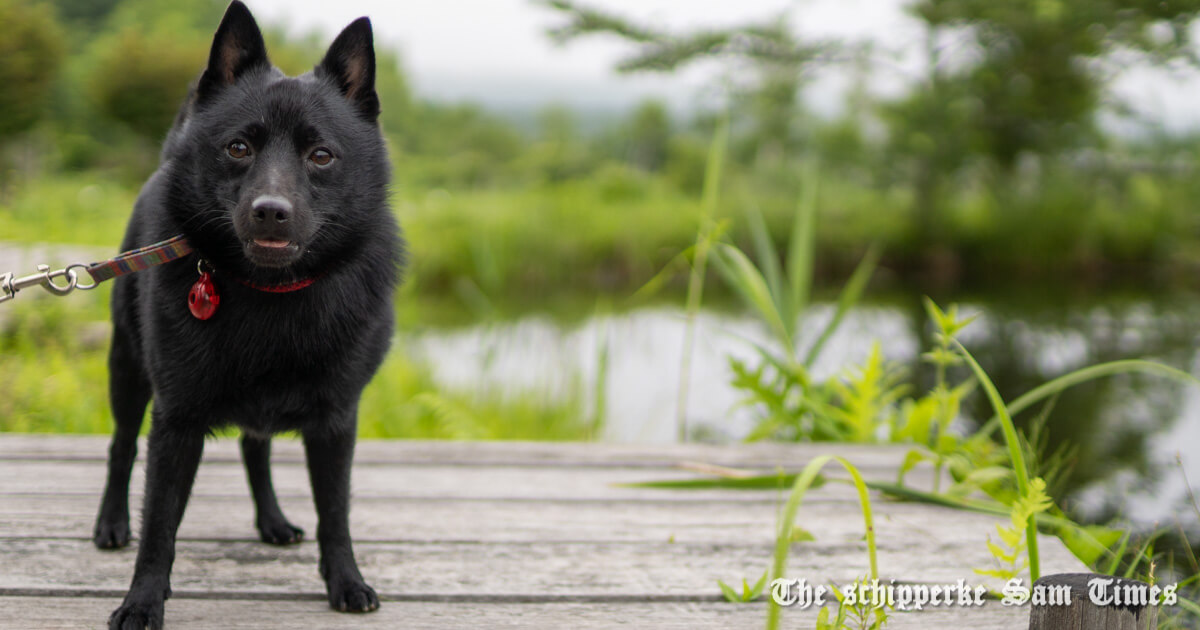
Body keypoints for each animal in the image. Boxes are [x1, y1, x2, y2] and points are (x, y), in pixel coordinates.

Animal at [92, 2, 403, 624]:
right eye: (239, 148)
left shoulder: (336, 421)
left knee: (253, 449)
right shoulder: (176, 421)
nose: (270, 212)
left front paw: (347, 582)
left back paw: (273, 522)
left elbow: (336, 513)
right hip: (127, 369)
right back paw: (112, 522)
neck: (272, 294)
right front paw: (142, 601)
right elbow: (160, 524)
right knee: (121, 448)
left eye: (321, 155)